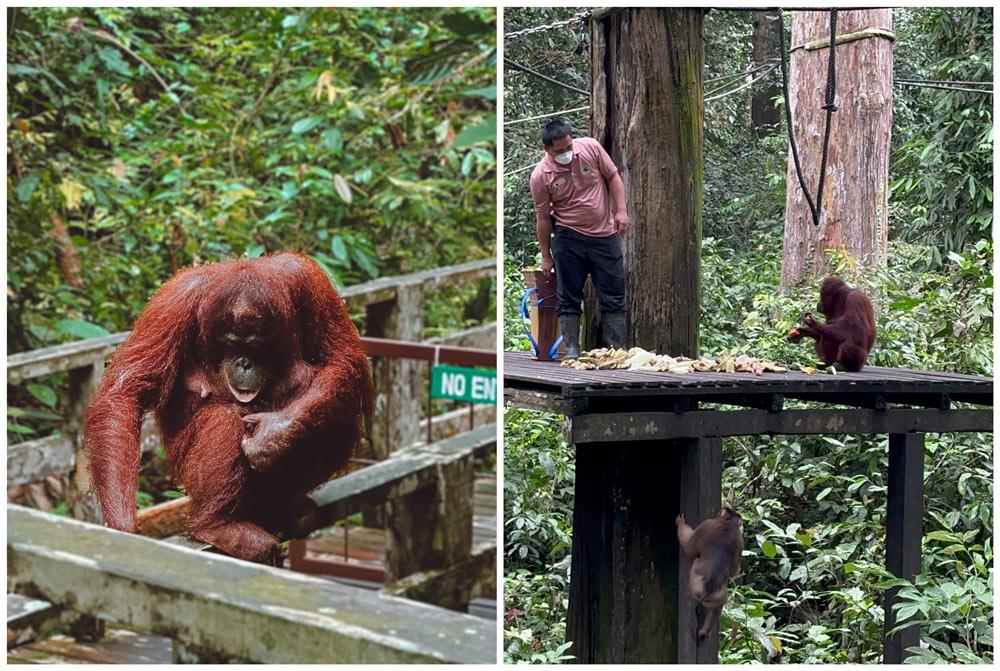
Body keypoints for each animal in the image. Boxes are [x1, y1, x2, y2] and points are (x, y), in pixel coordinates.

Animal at [676, 507, 744, 640]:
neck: (728, 524)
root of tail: (707, 590)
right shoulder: (740, 540)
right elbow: (734, 570)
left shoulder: (706, 524)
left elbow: (689, 547)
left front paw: (680, 522)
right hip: (715, 597)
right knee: (719, 604)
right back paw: (704, 632)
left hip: (695, 586)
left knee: (696, 560)